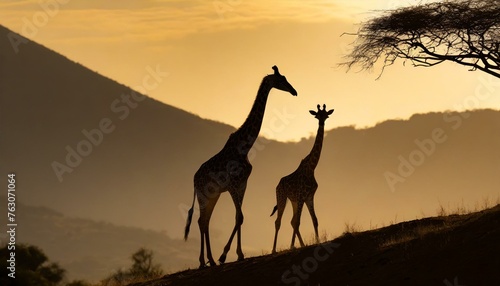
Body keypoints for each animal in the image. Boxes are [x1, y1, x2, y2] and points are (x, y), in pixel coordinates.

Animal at [272, 104, 334, 254]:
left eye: (326, 115)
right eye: (317, 115)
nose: (321, 122)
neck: (312, 168)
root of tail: (277, 184)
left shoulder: (309, 196)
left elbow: (314, 220)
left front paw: (317, 241)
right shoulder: (301, 196)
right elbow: (298, 221)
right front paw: (291, 246)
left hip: (293, 200)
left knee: (291, 220)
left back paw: (302, 244)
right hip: (281, 197)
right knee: (279, 221)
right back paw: (274, 249)